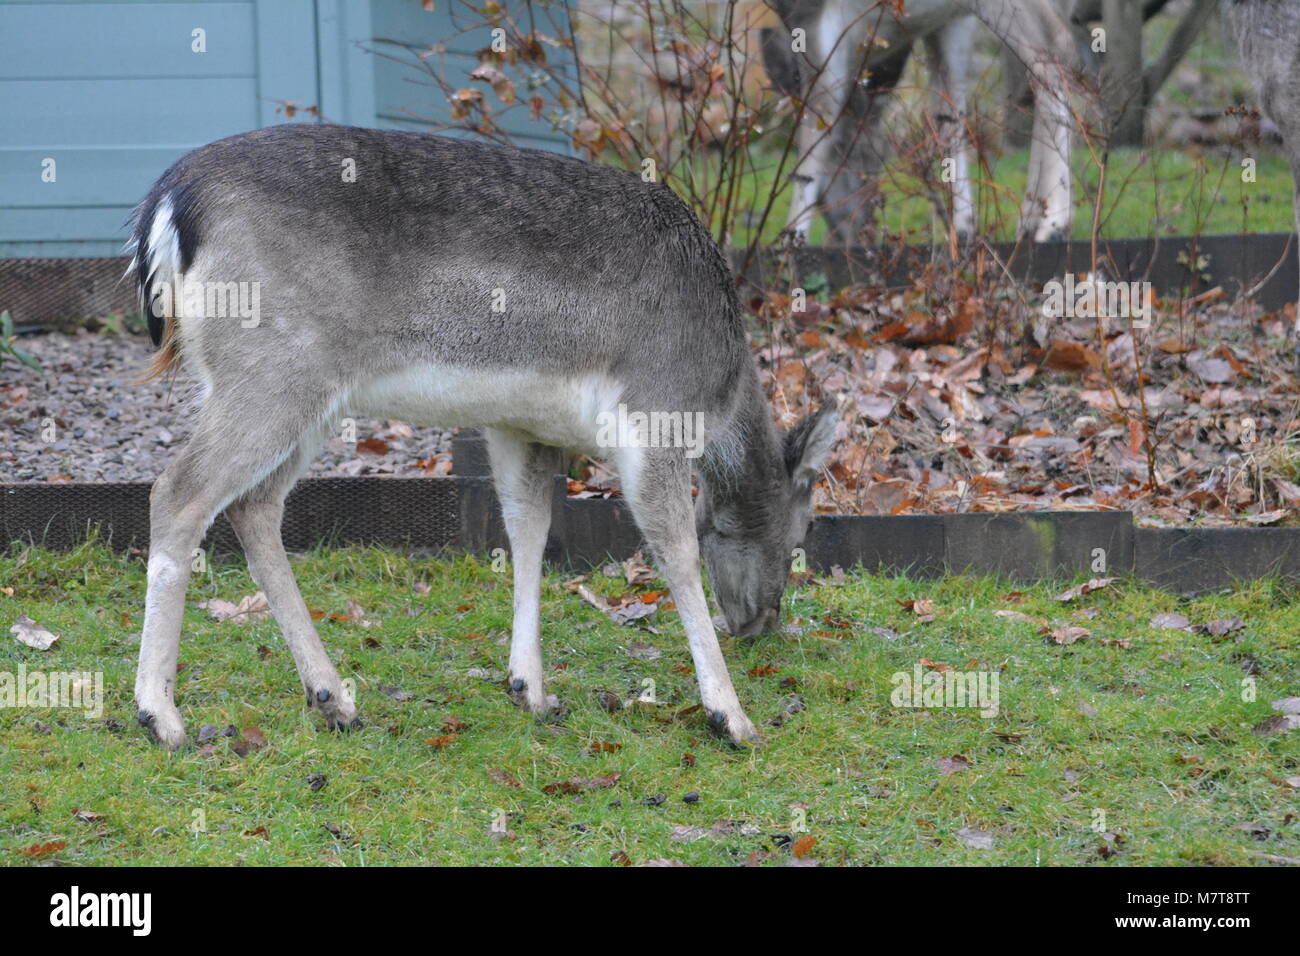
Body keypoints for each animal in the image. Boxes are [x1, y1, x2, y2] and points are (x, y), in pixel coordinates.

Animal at [126, 123, 837, 749]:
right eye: (804, 529)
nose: (762, 624)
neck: (718, 387)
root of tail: (168, 203)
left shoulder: (518, 425)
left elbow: (529, 532)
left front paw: (531, 689)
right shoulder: (654, 411)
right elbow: (678, 553)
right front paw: (732, 717)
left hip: (303, 398)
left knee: (254, 505)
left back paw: (333, 699)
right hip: (274, 372)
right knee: (178, 492)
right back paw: (161, 716)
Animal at [759, 0, 1081, 243]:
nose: (859, 230)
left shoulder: (811, 16)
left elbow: (818, 114)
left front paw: (791, 238)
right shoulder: (951, 20)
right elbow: (949, 111)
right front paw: (962, 229)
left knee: (1054, 44)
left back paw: (1052, 225)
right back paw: (1030, 221)